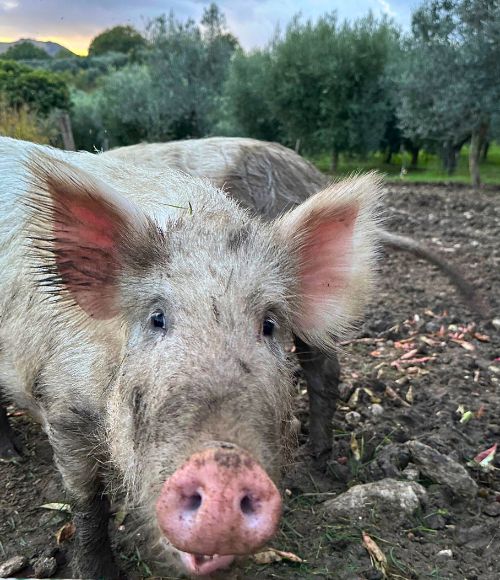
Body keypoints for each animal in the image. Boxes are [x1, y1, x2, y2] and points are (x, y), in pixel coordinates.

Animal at [0, 138, 382, 576]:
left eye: (268, 324)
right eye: (156, 318)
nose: (223, 465)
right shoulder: (61, 407)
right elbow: (87, 503)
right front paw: (99, 573)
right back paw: (12, 455)